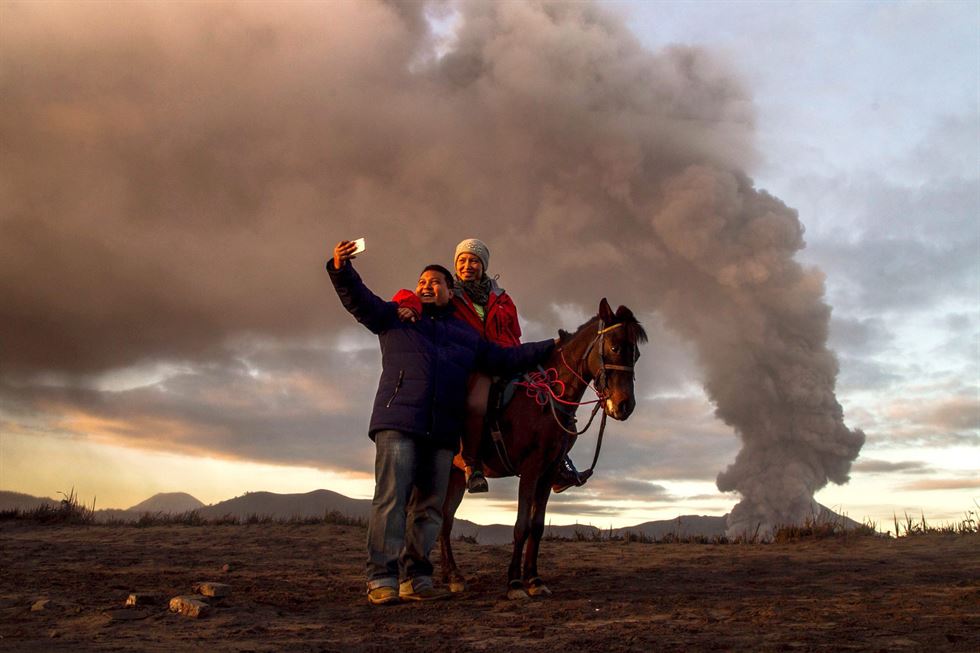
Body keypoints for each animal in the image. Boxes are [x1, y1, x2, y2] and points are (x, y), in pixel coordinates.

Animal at [436, 298, 644, 600]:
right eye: (615, 347)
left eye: (636, 354)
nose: (625, 405)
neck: (548, 397)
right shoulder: (530, 468)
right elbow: (521, 526)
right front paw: (514, 583)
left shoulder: (548, 470)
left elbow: (537, 525)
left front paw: (534, 579)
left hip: (454, 475)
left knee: (445, 519)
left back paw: (451, 575)